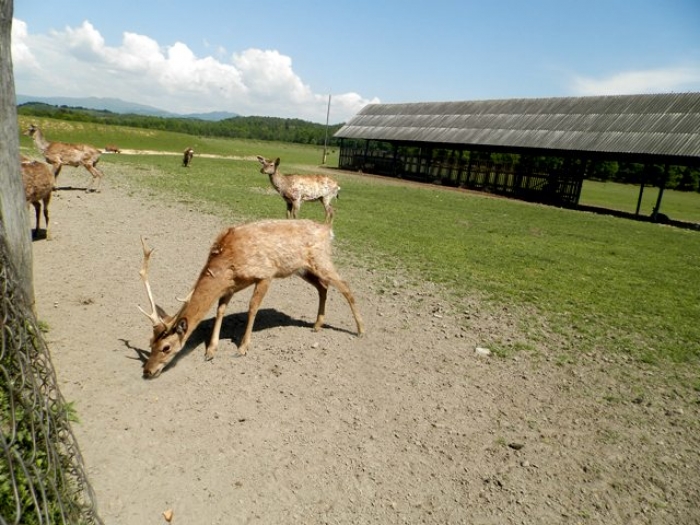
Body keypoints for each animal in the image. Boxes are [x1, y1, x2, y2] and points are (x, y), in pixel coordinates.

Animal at [138, 217, 366, 376]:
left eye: (166, 348)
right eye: (150, 342)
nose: (147, 371)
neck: (226, 265)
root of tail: (328, 230)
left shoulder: (265, 274)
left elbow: (252, 307)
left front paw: (242, 348)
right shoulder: (231, 286)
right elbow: (220, 310)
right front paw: (211, 351)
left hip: (322, 260)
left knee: (346, 288)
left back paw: (360, 330)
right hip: (303, 269)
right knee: (323, 287)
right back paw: (317, 325)